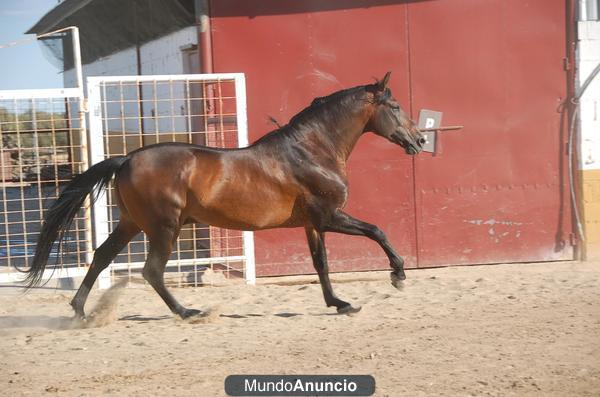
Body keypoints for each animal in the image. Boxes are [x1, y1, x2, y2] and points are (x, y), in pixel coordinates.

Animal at [24, 72, 426, 318]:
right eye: (394, 107)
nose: (420, 140)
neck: (312, 150)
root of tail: (127, 159)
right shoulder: (329, 216)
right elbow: (377, 230)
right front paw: (398, 275)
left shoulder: (313, 223)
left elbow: (321, 264)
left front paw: (340, 303)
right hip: (164, 227)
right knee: (152, 270)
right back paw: (187, 312)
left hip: (130, 223)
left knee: (102, 257)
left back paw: (79, 311)